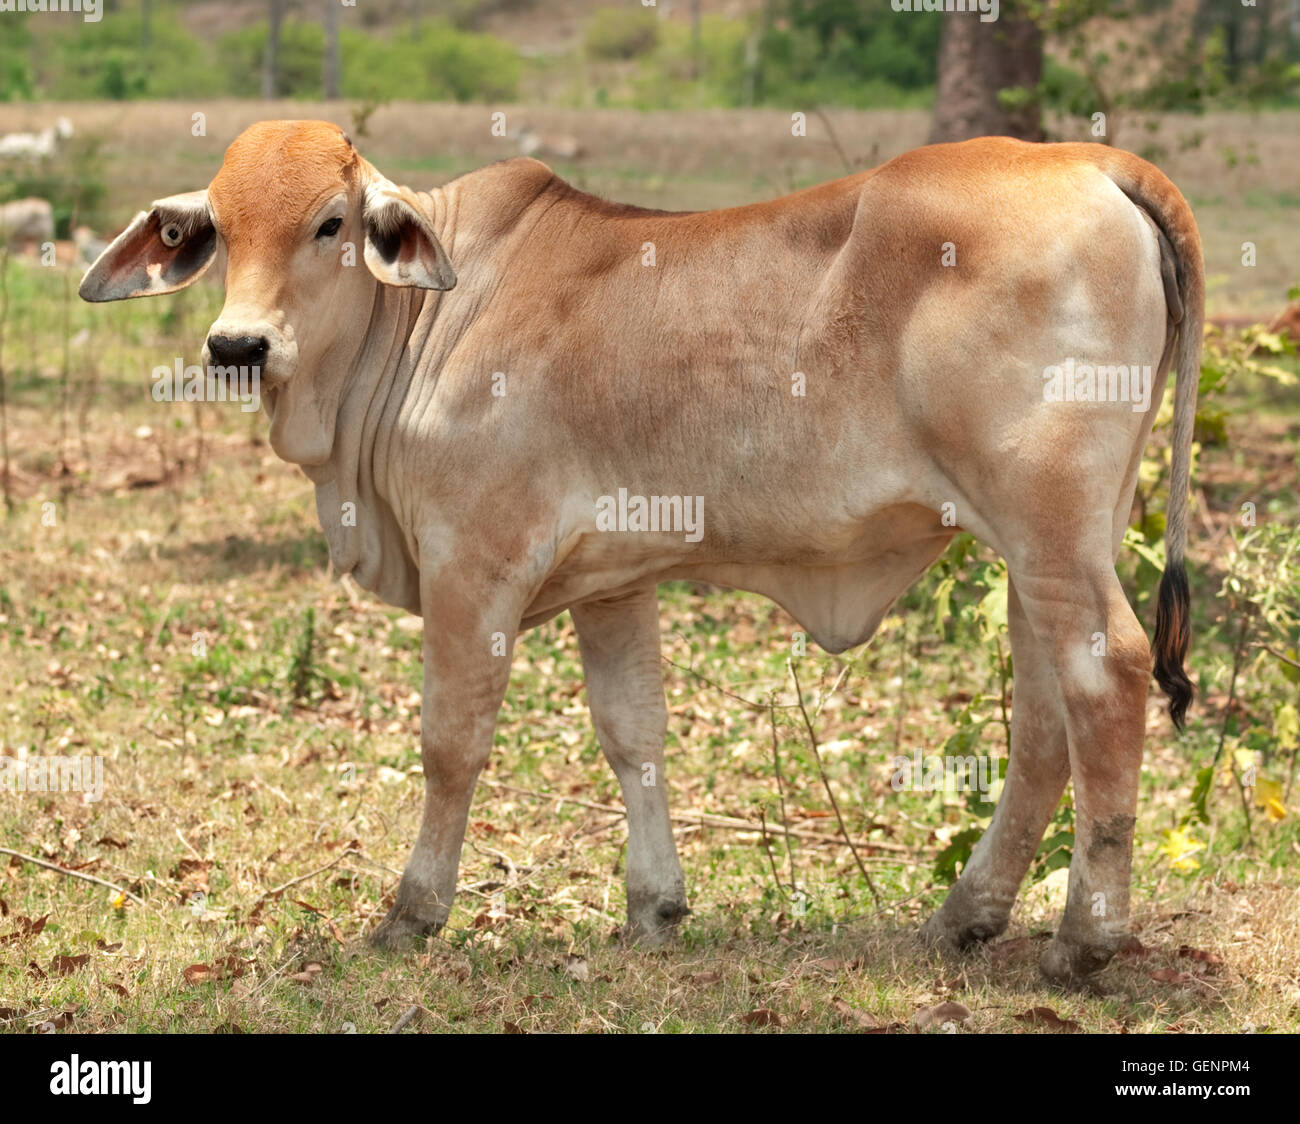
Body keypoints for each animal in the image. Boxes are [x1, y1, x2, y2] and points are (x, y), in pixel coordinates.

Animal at [78, 124, 1196, 982]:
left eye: (330, 224)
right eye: (218, 231)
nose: (238, 347)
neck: (424, 318)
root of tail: (1093, 160)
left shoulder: (473, 566)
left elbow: (451, 746)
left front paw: (412, 911)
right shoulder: (609, 582)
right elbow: (634, 735)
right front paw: (654, 906)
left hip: (1046, 524)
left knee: (1107, 675)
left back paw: (1085, 941)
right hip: (1053, 541)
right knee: (1045, 721)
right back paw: (966, 919)